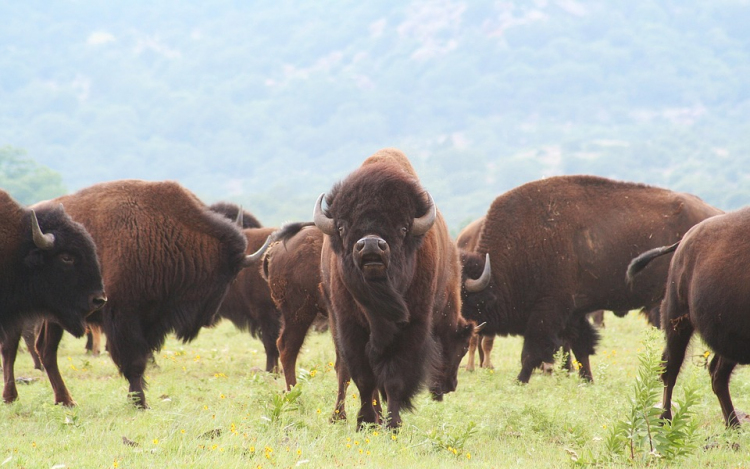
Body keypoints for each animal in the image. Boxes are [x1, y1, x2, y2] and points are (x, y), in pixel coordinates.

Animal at [33, 179, 253, 406]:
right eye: (228, 276)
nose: (209, 319)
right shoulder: (124, 317)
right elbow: (134, 362)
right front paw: (140, 402)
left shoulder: (150, 320)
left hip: (55, 318)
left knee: (46, 350)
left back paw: (65, 400)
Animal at [314, 149, 472, 428]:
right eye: (342, 226)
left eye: (403, 227)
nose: (370, 245)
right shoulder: (350, 328)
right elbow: (364, 378)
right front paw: (365, 421)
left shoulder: (412, 328)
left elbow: (394, 379)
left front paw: (392, 424)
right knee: (343, 370)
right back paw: (341, 416)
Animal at [464, 176, 724, 384]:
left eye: (464, 298)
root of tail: (716, 214)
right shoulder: (573, 313)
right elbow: (580, 347)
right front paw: (586, 380)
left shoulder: (547, 311)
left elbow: (532, 351)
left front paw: (520, 381)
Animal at [628, 208, 750, 428]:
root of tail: (684, 240)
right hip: (677, 322)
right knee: (671, 368)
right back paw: (665, 420)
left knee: (717, 375)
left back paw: (734, 426)